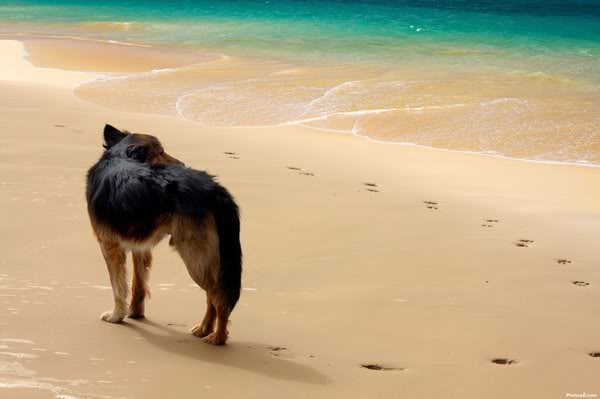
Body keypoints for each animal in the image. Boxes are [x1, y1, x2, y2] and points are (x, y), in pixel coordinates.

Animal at [85, 123, 244, 346]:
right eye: (160, 152)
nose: (182, 163)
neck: (118, 154)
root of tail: (215, 190)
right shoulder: (140, 247)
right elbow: (138, 285)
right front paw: (135, 313)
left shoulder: (109, 245)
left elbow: (118, 287)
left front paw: (117, 316)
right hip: (207, 259)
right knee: (211, 296)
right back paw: (204, 329)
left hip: (195, 256)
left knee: (218, 296)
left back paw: (218, 337)